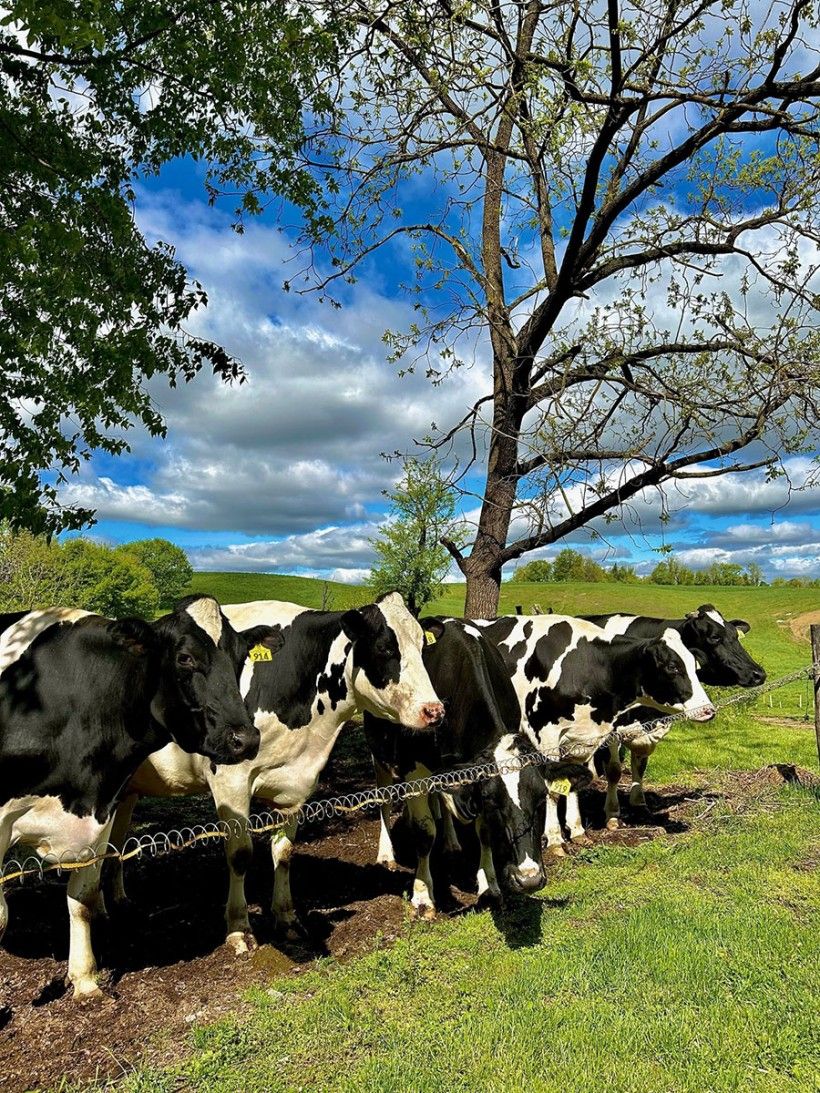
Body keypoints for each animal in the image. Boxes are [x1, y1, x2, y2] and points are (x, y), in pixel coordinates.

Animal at [0, 598, 267, 1001]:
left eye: (240, 658)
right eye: (185, 657)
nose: (245, 739)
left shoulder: (100, 809)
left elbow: (82, 899)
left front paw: (85, 980)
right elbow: (1, 915)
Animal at [109, 594, 446, 953]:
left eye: (422, 646)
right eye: (385, 648)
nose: (434, 711)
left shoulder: (295, 784)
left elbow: (283, 852)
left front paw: (286, 918)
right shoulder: (230, 779)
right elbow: (240, 853)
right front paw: (239, 929)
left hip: (125, 790)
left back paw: (114, 902)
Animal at [365, 620, 590, 918]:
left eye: (542, 798)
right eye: (494, 801)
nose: (529, 878)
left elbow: (483, 832)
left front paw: (489, 886)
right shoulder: (416, 770)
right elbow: (424, 832)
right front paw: (423, 896)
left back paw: (451, 843)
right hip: (378, 754)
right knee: (385, 800)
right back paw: (386, 854)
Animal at [472, 620, 717, 848]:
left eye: (695, 666)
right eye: (672, 667)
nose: (708, 710)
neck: (585, 665)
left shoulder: (580, 737)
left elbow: (575, 781)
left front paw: (577, 830)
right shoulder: (545, 735)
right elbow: (552, 789)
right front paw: (555, 839)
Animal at [581, 607, 769, 821]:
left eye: (735, 635)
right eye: (714, 637)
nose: (758, 674)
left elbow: (640, 764)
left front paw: (639, 803)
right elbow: (614, 770)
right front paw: (612, 814)